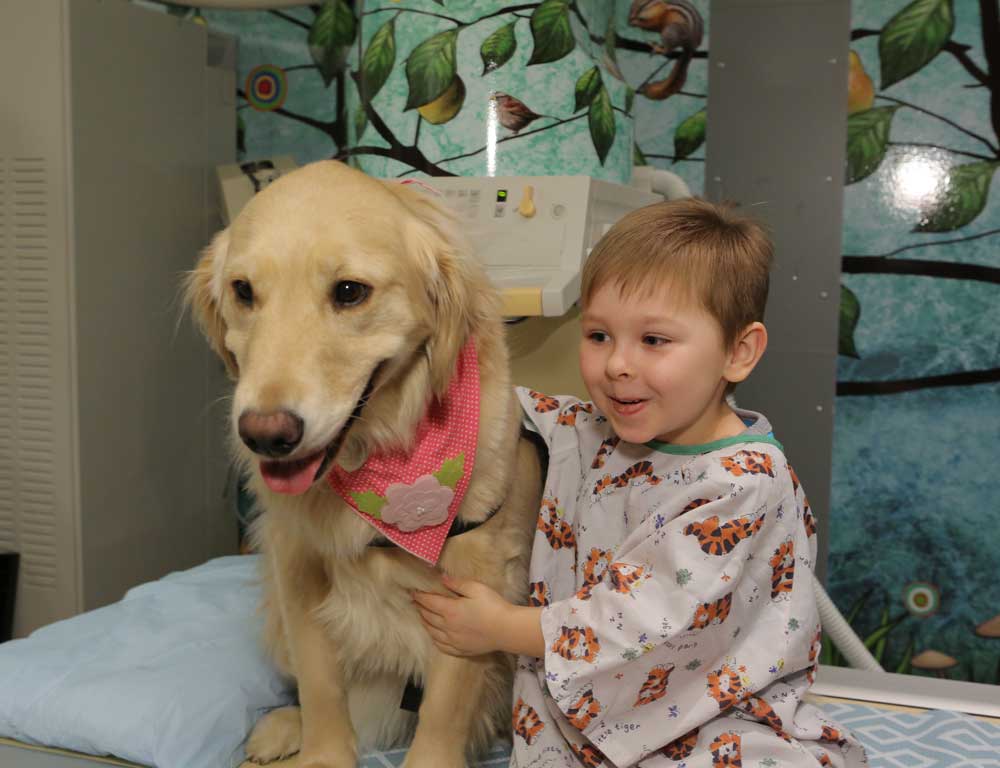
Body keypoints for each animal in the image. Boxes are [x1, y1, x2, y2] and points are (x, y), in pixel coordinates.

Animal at [186, 159, 548, 764]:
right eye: (243, 290)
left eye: (350, 292)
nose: (265, 435)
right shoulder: (295, 562)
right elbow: (321, 687)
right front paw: (321, 752)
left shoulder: (475, 576)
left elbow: (444, 707)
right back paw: (283, 726)